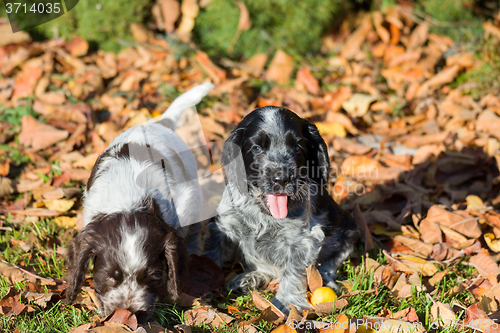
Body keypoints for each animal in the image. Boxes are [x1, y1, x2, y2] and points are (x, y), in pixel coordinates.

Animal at [203, 107, 360, 314]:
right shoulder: (223, 225)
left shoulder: (303, 241)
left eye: (297, 147)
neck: (263, 214)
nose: (282, 178)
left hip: (348, 230)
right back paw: (250, 278)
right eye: (257, 148)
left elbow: (293, 274)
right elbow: (212, 255)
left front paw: (284, 305)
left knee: (329, 263)